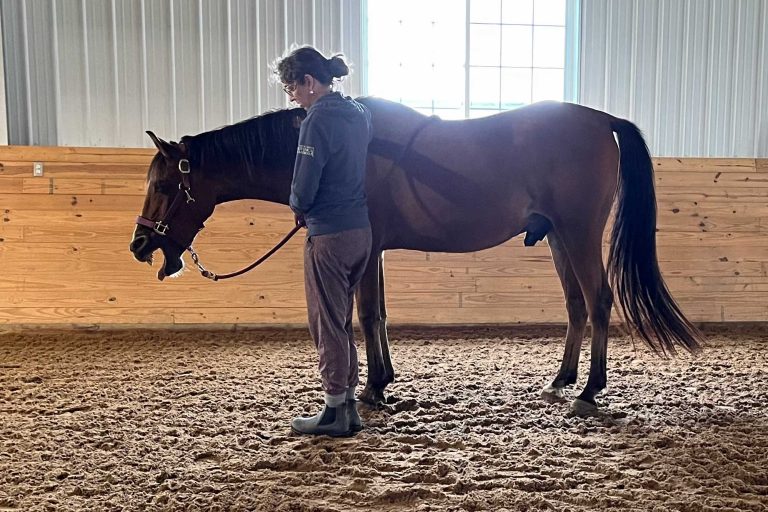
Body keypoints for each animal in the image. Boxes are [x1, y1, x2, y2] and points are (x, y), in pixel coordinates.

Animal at [129, 97, 703, 415]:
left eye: (164, 184)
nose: (139, 246)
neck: (348, 149)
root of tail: (602, 120)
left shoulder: (365, 246)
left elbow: (363, 313)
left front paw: (369, 390)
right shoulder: (377, 249)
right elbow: (379, 313)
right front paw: (382, 380)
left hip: (580, 233)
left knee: (600, 300)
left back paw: (589, 391)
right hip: (559, 236)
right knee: (577, 305)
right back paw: (561, 381)